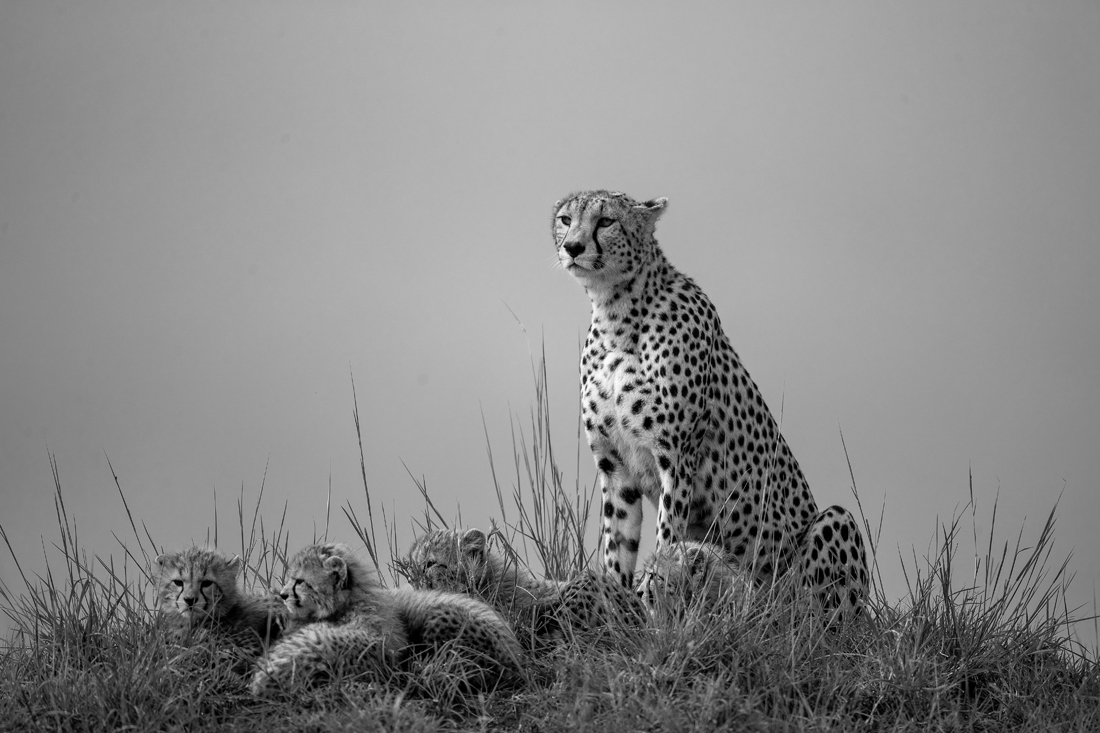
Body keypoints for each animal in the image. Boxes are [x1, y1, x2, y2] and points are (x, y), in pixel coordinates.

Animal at [553, 190, 869, 621]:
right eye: (565, 219)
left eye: (605, 222)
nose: (572, 247)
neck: (616, 313)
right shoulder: (615, 465)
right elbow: (617, 546)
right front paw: (614, 604)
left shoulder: (676, 456)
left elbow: (668, 538)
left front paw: (655, 600)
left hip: (834, 527)